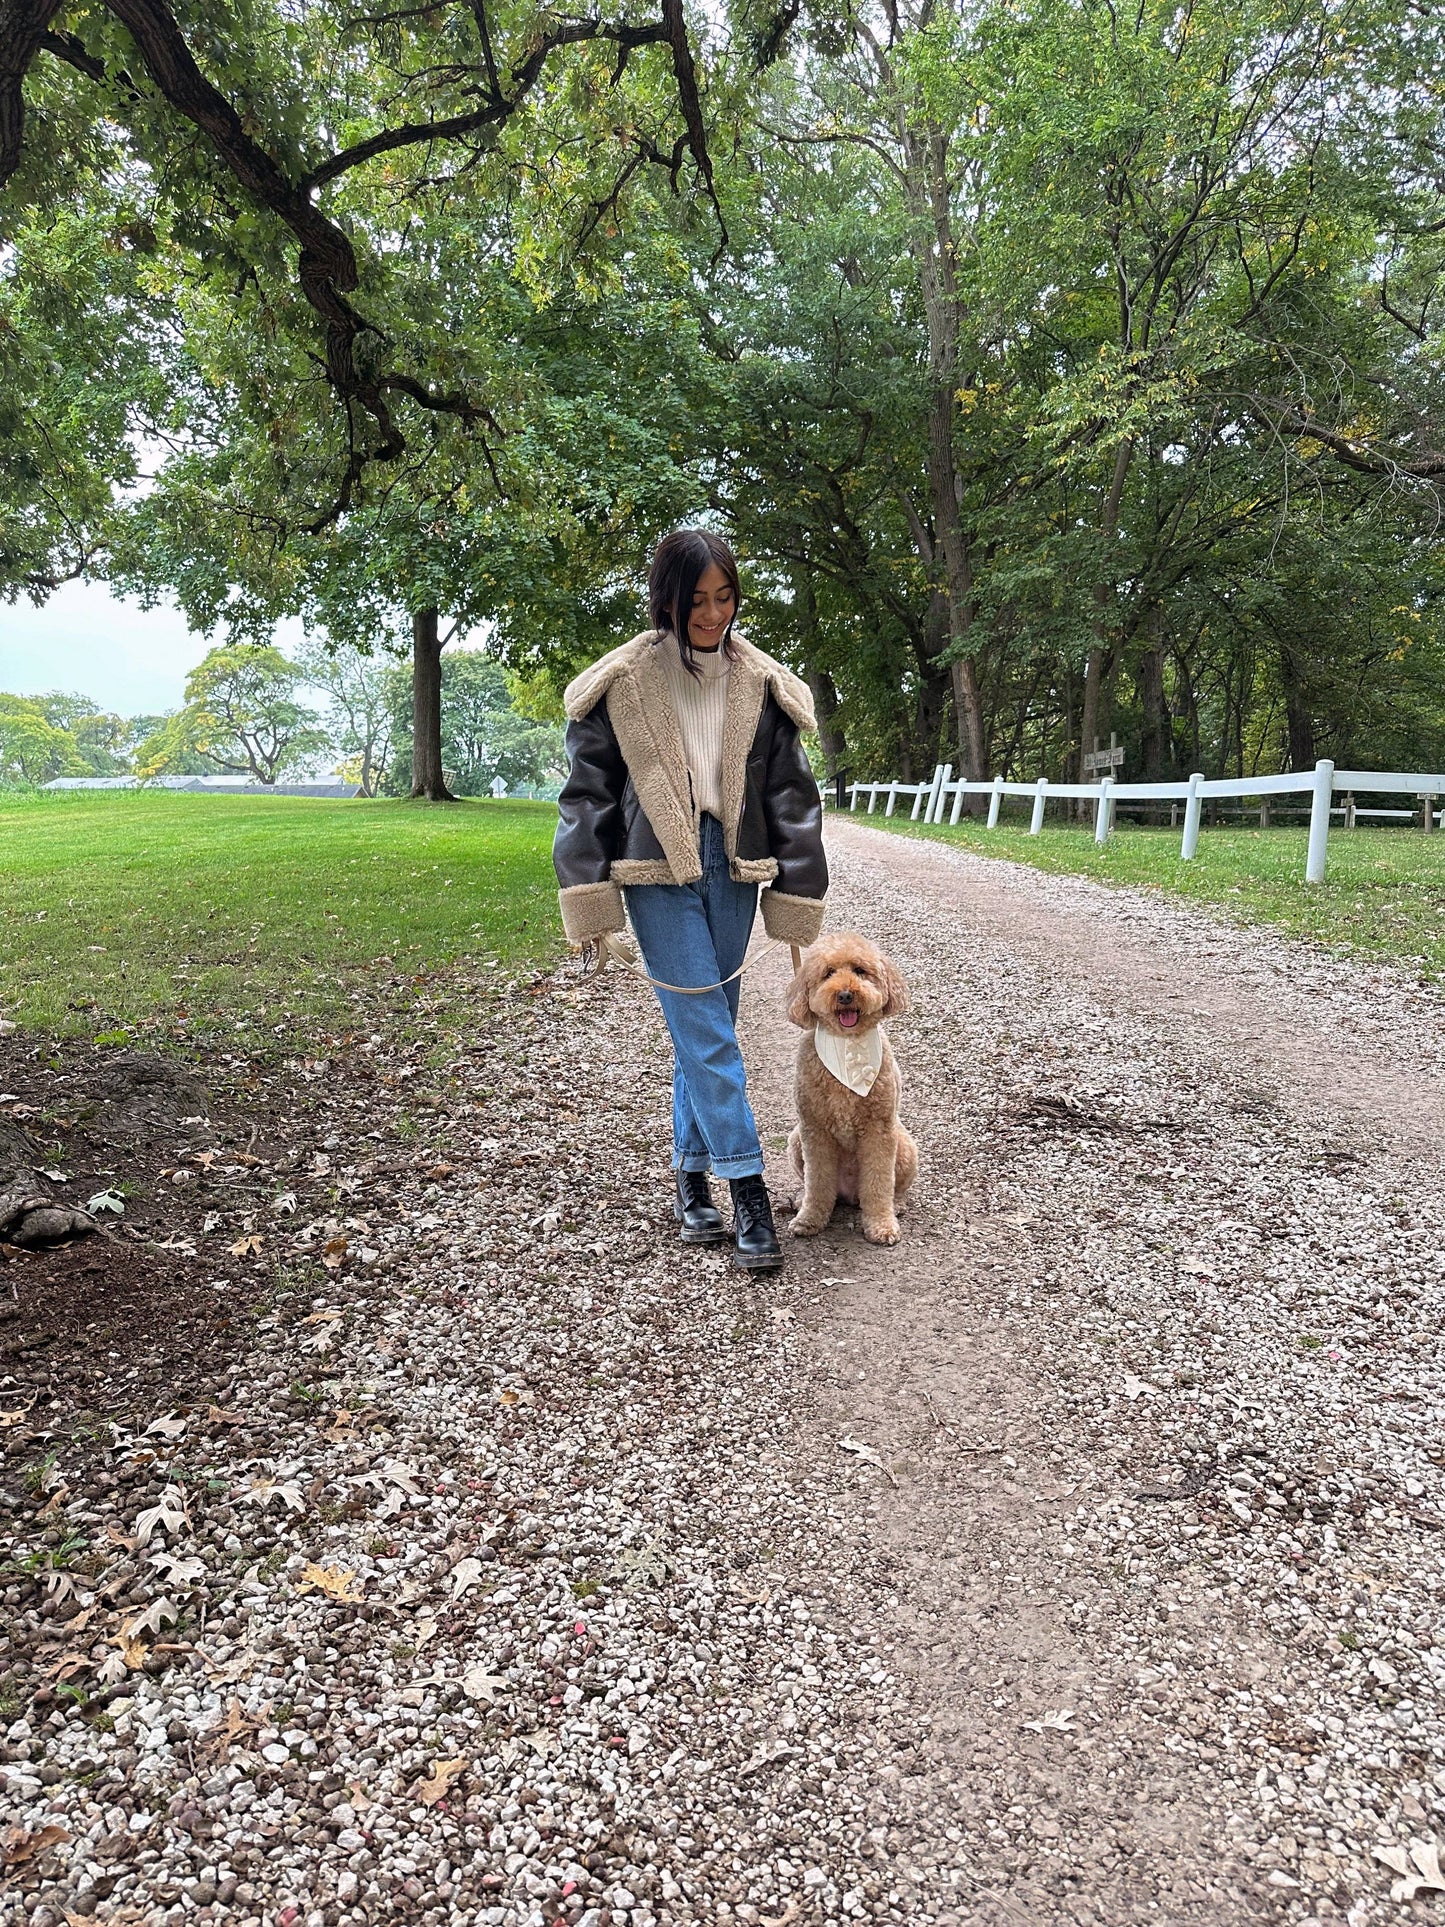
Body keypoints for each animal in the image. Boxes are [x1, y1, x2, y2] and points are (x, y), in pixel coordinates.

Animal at [786, 932, 920, 1248]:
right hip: (795, 1140)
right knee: (813, 1184)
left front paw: (882, 1225)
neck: (848, 1047)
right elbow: (817, 1182)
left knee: (895, 1188)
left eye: (860, 970)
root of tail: (848, 1193)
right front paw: (809, 1219)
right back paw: (800, 1198)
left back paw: (896, 1205)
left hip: (904, 1146)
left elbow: (879, 1183)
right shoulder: (813, 1129)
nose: (846, 995)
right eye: (828, 973)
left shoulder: (879, 1129)